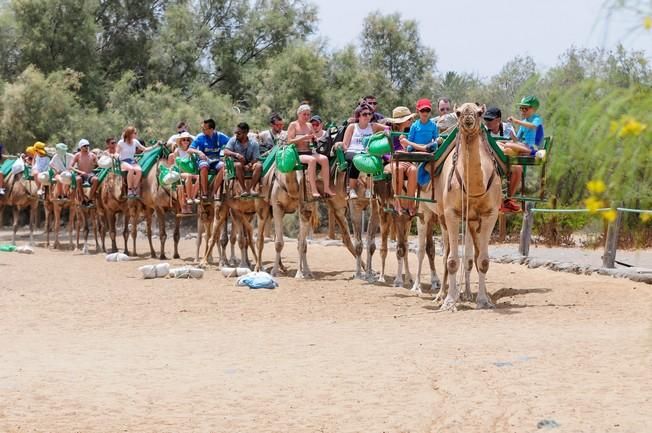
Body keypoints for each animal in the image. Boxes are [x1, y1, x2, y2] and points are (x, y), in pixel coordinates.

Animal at [436, 102, 502, 308]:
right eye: (457, 112)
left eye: (479, 112)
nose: (467, 117)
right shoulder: (451, 213)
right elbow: (451, 261)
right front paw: (450, 302)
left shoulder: (490, 215)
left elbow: (483, 260)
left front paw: (483, 300)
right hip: (441, 216)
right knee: (445, 254)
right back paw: (441, 294)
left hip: (472, 222)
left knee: (473, 256)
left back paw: (471, 294)